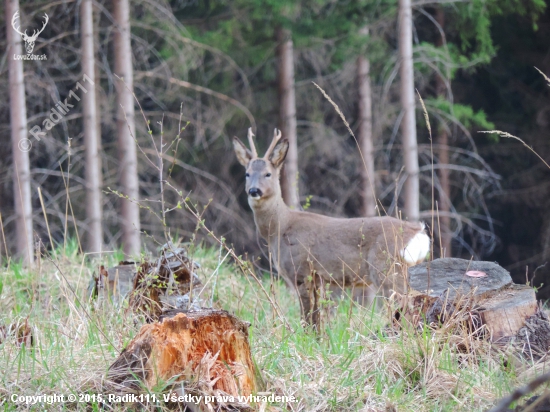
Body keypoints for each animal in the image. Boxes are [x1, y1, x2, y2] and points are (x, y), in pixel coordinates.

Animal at [233, 127, 432, 326]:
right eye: (247, 174)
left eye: (268, 173)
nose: (254, 191)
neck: (280, 228)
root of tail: (418, 232)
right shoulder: (318, 278)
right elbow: (316, 317)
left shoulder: (301, 270)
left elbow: (307, 316)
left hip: (387, 269)